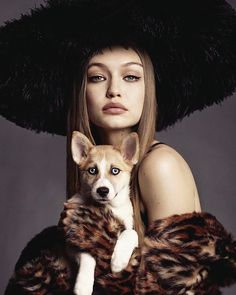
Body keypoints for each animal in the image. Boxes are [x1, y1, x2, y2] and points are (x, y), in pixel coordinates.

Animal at [66, 132, 139, 295]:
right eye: (92, 170)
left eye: (115, 171)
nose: (102, 191)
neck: (107, 208)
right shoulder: (72, 240)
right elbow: (87, 255)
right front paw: (83, 285)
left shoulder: (130, 227)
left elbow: (131, 233)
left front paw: (118, 261)